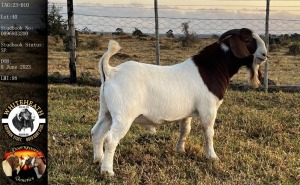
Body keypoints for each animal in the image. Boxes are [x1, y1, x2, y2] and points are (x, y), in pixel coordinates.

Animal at [91, 27, 268, 176]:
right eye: (247, 39)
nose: (265, 54)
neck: (212, 68)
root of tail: (111, 71)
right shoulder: (208, 109)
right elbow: (209, 132)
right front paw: (212, 156)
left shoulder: (187, 113)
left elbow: (185, 130)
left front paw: (181, 150)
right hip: (123, 115)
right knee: (110, 139)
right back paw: (107, 171)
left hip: (106, 111)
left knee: (97, 132)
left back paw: (98, 159)